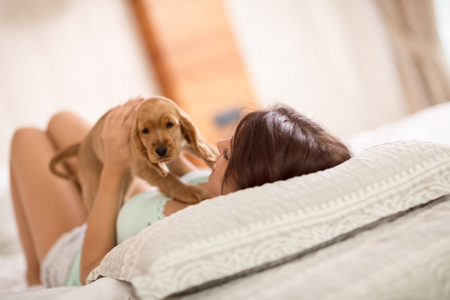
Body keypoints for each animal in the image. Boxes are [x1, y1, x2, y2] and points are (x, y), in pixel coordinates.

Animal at [49, 95, 218, 213]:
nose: (160, 150)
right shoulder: (144, 165)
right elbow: (169, 180)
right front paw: (191, 191)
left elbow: (208, 151)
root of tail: (82, 144)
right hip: (94, 183)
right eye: (145, 131)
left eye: (170, 124)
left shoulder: (189, 142)